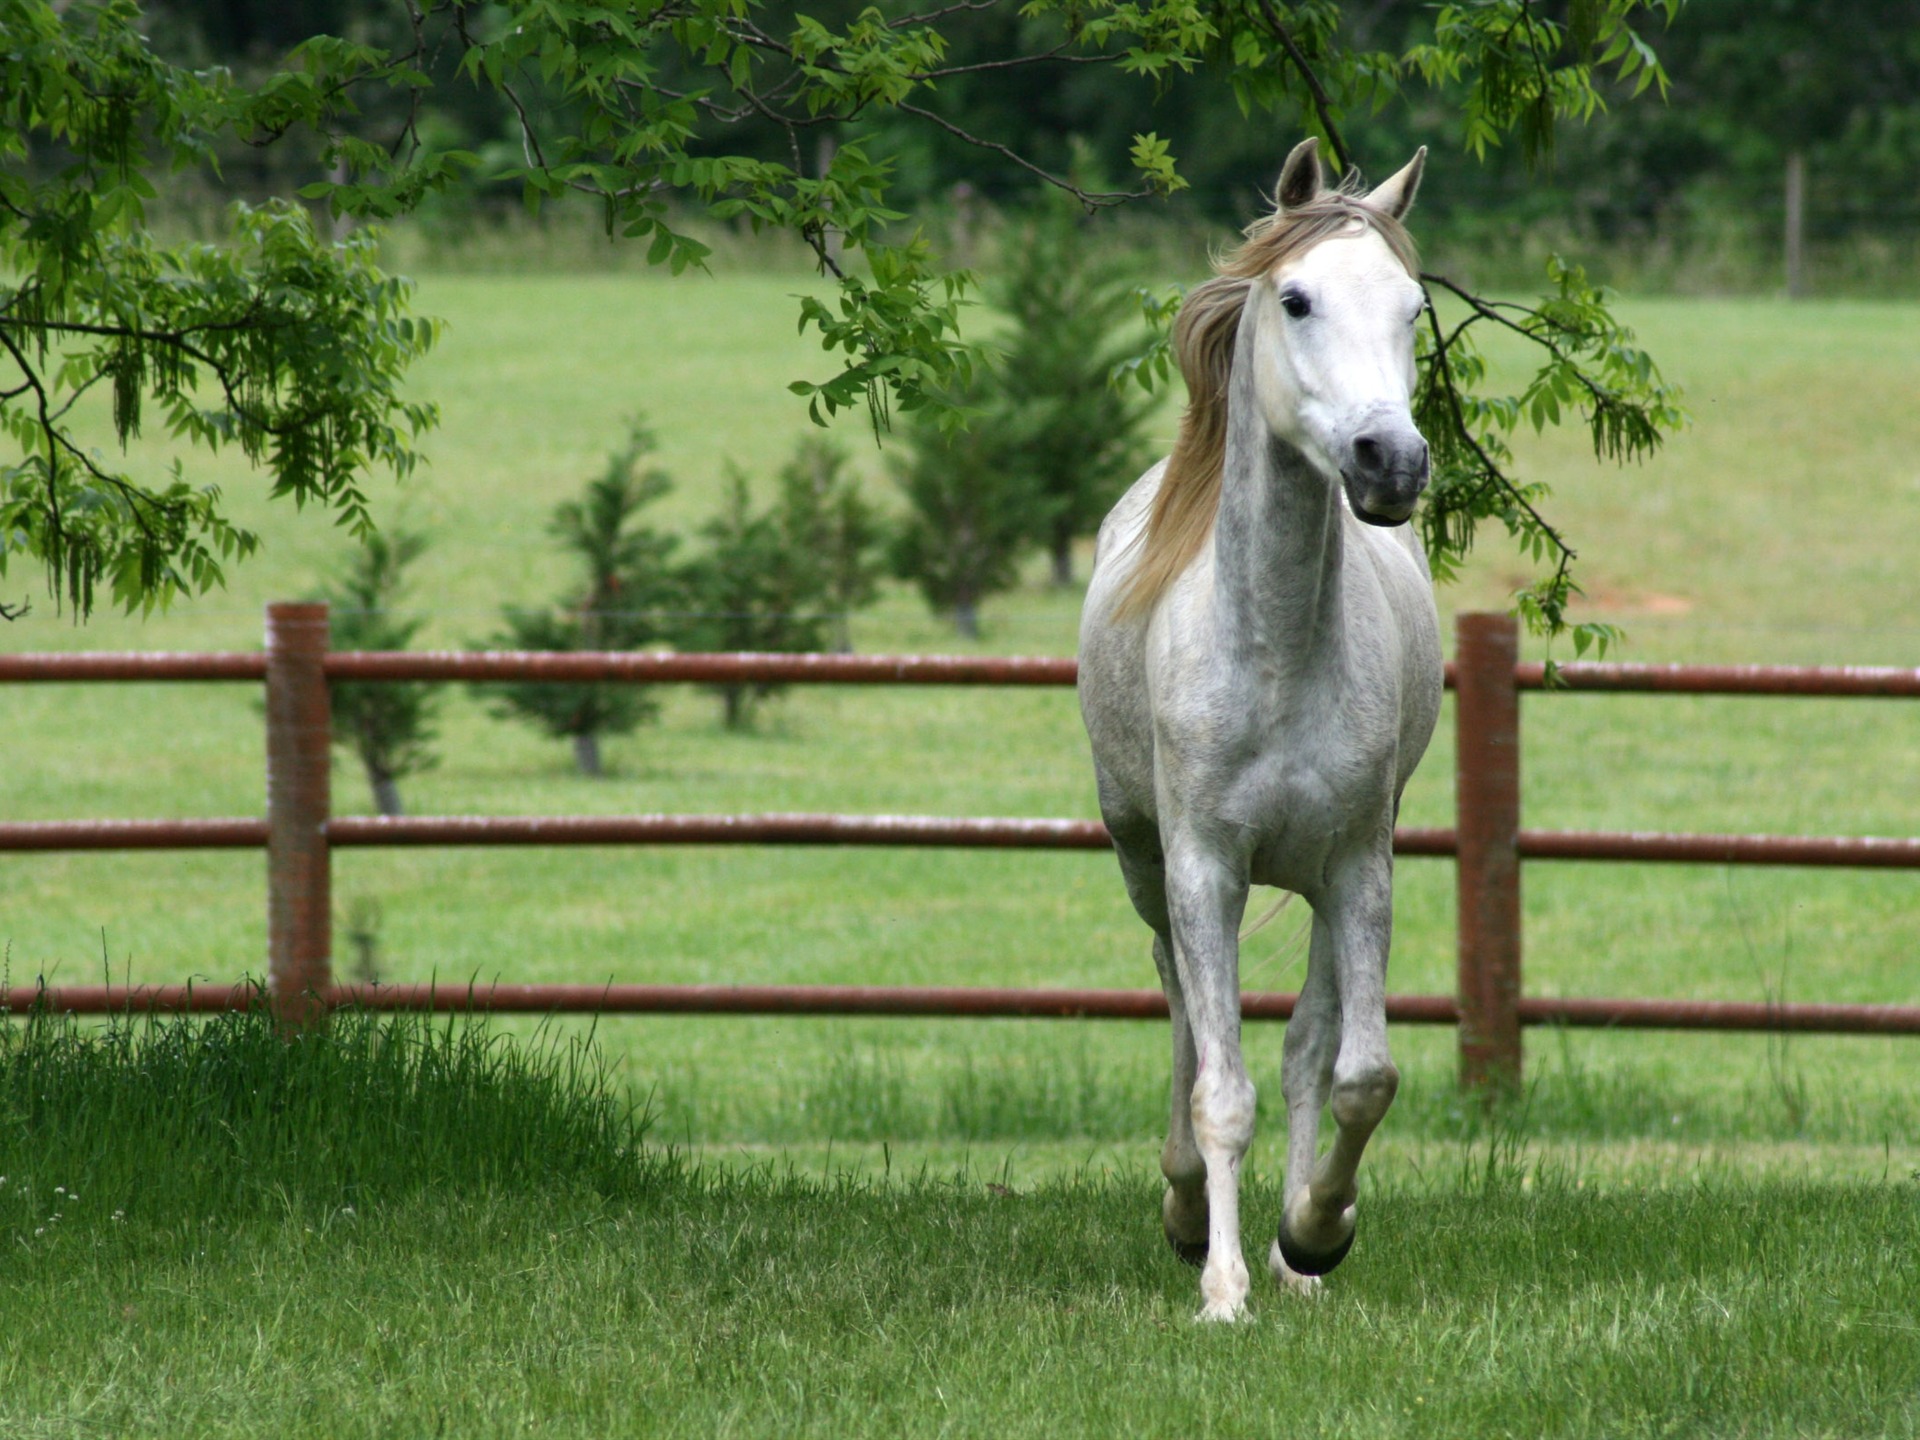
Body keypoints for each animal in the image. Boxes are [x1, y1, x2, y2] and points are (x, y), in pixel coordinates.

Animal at [1082, 141, 1443, 1328]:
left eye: (1413, 309)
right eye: (1296, 299)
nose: (1390, 463)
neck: (1276, 652)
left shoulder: (1359, 867)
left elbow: (1353, 1074)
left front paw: (1314, 1235)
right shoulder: (1204, 869)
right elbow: (1220, 1087)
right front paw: (1222, 1289)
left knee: (1304, 1047)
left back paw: (1292, 1255)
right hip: (1146, 865)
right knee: (1184, 1017)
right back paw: (1188, 1211)